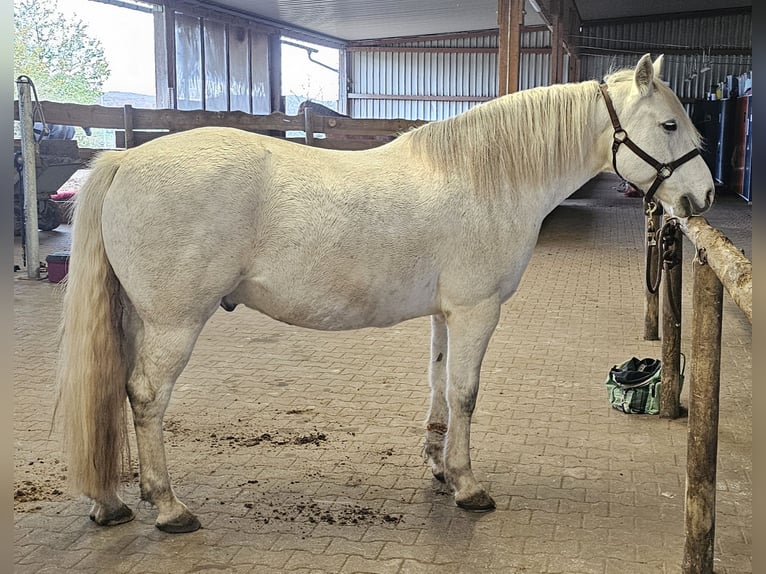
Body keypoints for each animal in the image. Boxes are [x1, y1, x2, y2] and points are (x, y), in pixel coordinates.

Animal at [54, 54, 713, 533]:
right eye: (670, 124)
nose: (703, 197)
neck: (487, 179)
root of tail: (125, 160)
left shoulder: (448, 315)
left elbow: (440, 387)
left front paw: (440, 468)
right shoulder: (477, 312)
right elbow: (466, 394)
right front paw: (469, 487)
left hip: (138, 320)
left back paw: (112, 503)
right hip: (174, 324)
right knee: (145, 397)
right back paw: (168, 508)